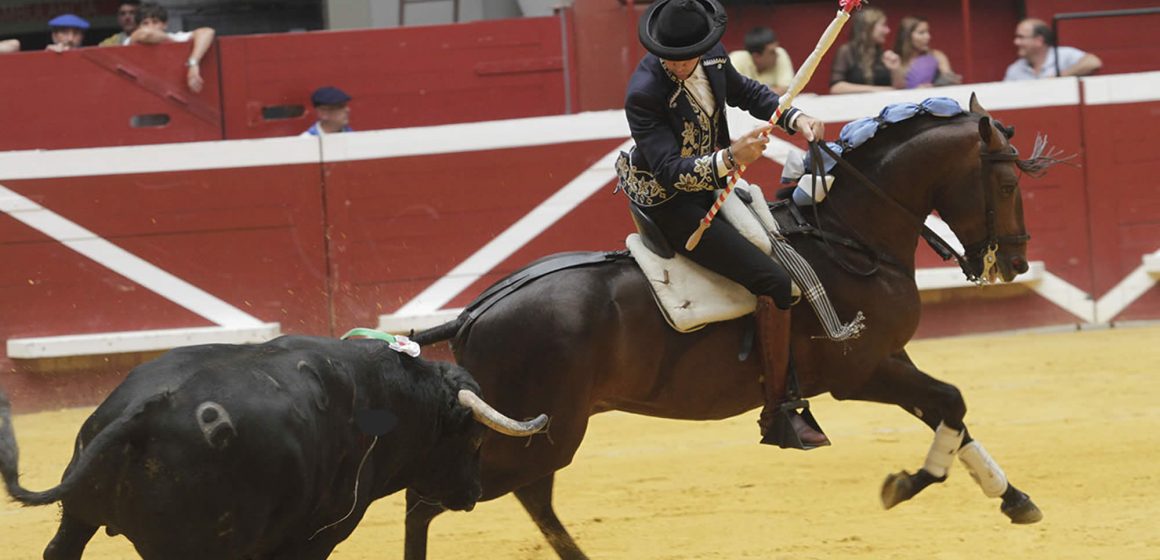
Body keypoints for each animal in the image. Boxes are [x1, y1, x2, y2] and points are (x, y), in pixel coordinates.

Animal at [0, 336, 545, 558]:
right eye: (475, 436)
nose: (472, 494)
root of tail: (146, 409)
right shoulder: (317, 538)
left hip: (78, 515)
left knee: (61, 549)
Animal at [403, 97, 1057, 560]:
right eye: (1007, 185)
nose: (1016, 263)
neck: (849, 237)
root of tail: (474, 313)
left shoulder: (891, 359)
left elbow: (952, 407)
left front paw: (1015, 499)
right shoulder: (861, 372)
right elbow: (949, 404)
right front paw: (906, 483)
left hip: (542, 435)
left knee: (529, 497)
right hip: (541, 431)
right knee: (429, 499)